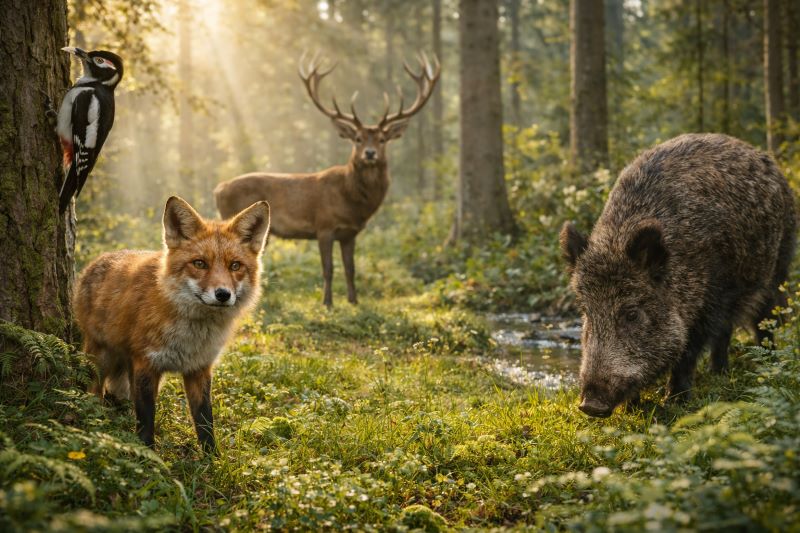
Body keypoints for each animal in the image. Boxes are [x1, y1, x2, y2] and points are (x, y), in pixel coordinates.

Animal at [73, 196, 270, 453]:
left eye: (235, 266)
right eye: (200, 263)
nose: (223, 294)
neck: (190, 336)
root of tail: (96, 261)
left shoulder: (199, 368)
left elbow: (205, 421)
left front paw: (212, 457)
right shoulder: (146, 363)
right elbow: (146, 419)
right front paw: (146, 455)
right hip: (101, 356)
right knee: (95, 390)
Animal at [214, 53, 440, 307]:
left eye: (382, 139)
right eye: (358, 139)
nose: (370, 153)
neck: (352, 201)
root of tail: (218, 189)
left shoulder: (350, 233)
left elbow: (350, 268)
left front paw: (354, 301)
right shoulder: (324, 226)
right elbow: (328, 268)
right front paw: (327, 303)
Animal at [560, 133, 797, 418]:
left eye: (632, 313)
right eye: (587, 312)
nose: (590, 405)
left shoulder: (708, 300)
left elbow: (688, 350)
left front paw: (674, 401)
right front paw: (632, 407)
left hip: (778, 265)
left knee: (765, 320)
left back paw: (766, 366)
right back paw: (718, 374)